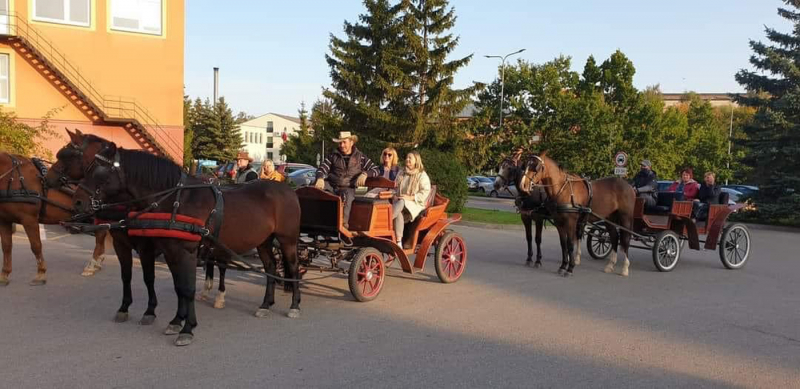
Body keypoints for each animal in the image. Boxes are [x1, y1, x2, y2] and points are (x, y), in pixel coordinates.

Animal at [0, 152, 111, 284]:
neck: (13, 178)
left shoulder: (29, 219)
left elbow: (36, 245)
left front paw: (41, 273)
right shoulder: (5, 220)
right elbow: (6, 247)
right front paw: (5, 274)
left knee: (100, 236)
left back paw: (92, 265)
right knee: (101, 234)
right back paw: (97, 262)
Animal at [47, 130, 304, 346]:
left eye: (98, 171)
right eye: (87, 166)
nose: (77, 202)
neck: (175, 200)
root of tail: (287, 189)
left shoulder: (183, 251)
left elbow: (186, 288)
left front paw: (187, 328)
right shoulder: (170, 251)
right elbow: (178, 286)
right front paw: (176, 321)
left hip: (287, 240)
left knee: (292, 268)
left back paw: (294, 306)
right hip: (264, 241)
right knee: (270, 267)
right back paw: (265, 304)